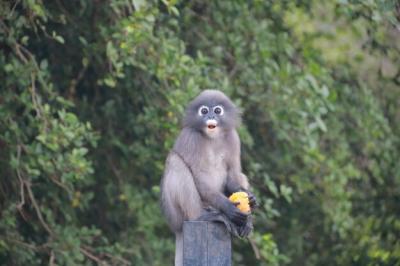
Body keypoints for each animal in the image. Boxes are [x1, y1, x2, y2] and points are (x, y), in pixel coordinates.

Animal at [160, 90, 256, 266]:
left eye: (217, 110)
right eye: (204, 111)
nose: (210, 115)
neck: (213, 137)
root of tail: (176, 228)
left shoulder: (233, 137)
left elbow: (233, 174)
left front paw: (251, 199)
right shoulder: (190, 137)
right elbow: (198, 177)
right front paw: (229, 208)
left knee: (240, 175)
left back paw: (247, 221)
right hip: (176, 215)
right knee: (175, 161)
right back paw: (206, 215)